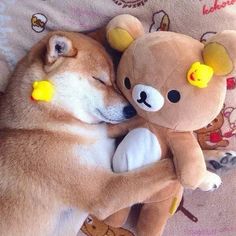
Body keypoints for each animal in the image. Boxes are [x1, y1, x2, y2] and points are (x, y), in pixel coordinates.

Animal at [0, 31, 177, 236]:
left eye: (115, 81)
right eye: (99, 79)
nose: (130, 110)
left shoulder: (104, 131)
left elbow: (130, 124)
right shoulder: (104, 191)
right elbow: (158, 170)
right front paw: (189, 168)